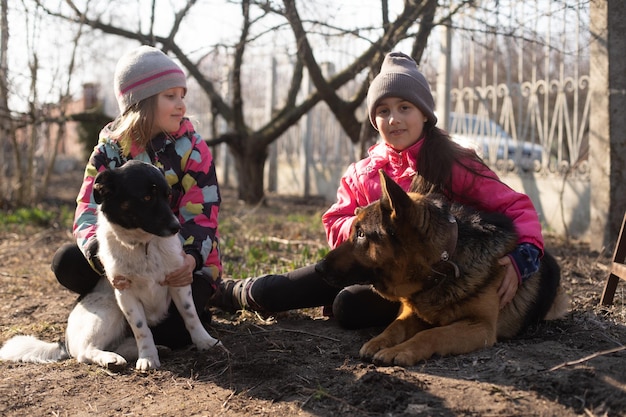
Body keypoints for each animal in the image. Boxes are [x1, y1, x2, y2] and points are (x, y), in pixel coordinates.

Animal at [0, 160, 223, 370]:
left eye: (167, 196)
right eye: (147, 198)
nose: (176, 227)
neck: (142, 246)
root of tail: (65, 341)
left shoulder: (178, 281)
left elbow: (190, 315)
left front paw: (205, 342)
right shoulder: (125, 293)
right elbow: (142, 329)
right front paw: (148, 357)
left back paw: (155, 349)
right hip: (109, 309)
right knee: (86, 351)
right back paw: (112, 358)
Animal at [316, 171, 564, 366]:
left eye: (361, 234)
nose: (318, 267)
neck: (444, 263)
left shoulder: (480, 327)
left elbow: (432, 333)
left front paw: (401, 351)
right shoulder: (411, 312)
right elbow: (395, 326)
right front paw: (379, 342)